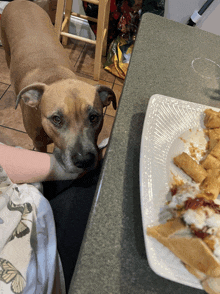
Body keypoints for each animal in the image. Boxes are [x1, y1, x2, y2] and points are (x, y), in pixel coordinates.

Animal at [0, 0, 117, 173]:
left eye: (94, 117)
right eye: (56, 119)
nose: (84, 160)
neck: (55, 77)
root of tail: (20, 2)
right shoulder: (38, 144)